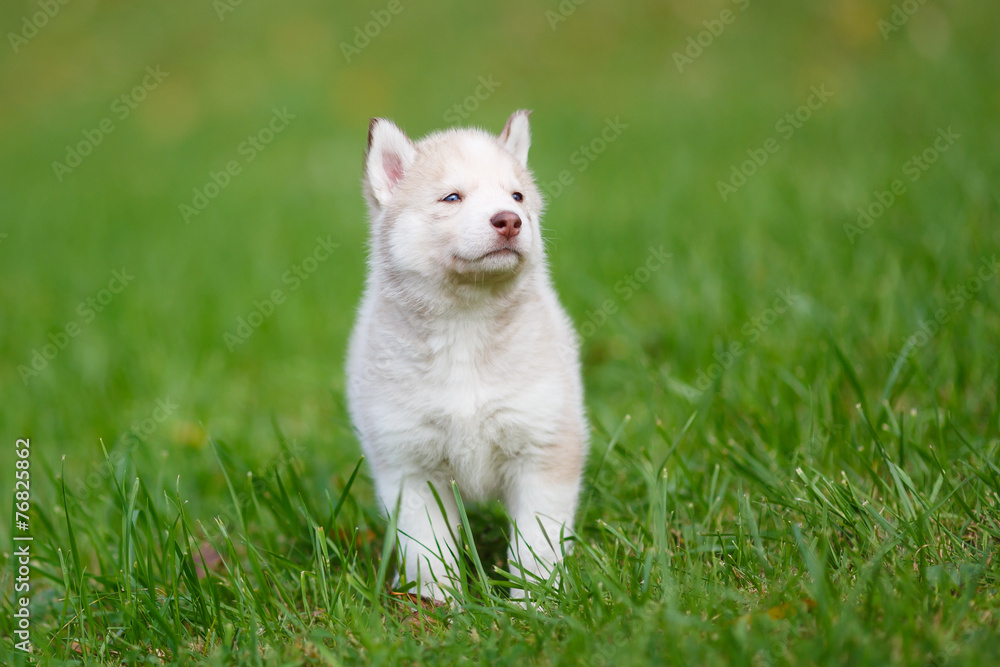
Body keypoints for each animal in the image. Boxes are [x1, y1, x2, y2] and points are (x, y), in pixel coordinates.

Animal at [348, 109, 588, 600]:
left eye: (516, 195)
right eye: (452, 197)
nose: (509, 220)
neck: (465, 327)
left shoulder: (542, 450)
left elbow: (536, 545)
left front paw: (538, 603)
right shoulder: (410, 466)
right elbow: (428, 551)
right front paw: (438, 605)